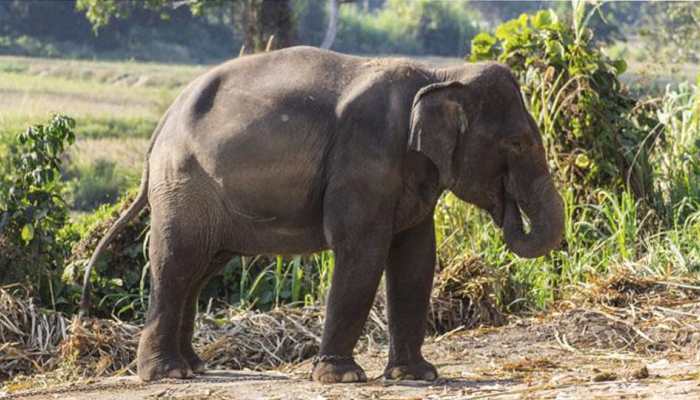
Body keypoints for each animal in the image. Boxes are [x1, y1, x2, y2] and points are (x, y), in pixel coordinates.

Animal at [80, 45, 564, 382]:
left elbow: (416, 258)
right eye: (518, 143)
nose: (506, 210)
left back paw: (194, 367)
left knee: (200, 268)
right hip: (184, 185)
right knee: (176, 261)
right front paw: (342, 377)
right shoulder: (363, 158)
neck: (441, 76)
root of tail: (161, 127)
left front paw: (418, 376)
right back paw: (168, 373)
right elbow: (362, 252)